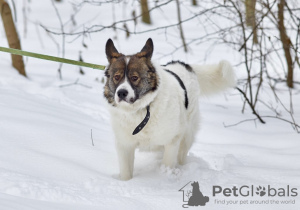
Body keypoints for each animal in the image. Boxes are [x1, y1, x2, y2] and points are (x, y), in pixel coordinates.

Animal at [104, 38, 236, 180]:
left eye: (134, 78)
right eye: (116, 77)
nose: (121, 93)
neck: (143, 108)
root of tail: (184, 65)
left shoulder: (172, 140)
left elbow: (168, 162)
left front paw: (166, 176)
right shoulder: (124, 145)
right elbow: (126, 173)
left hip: (187, 135)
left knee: (182, 154)